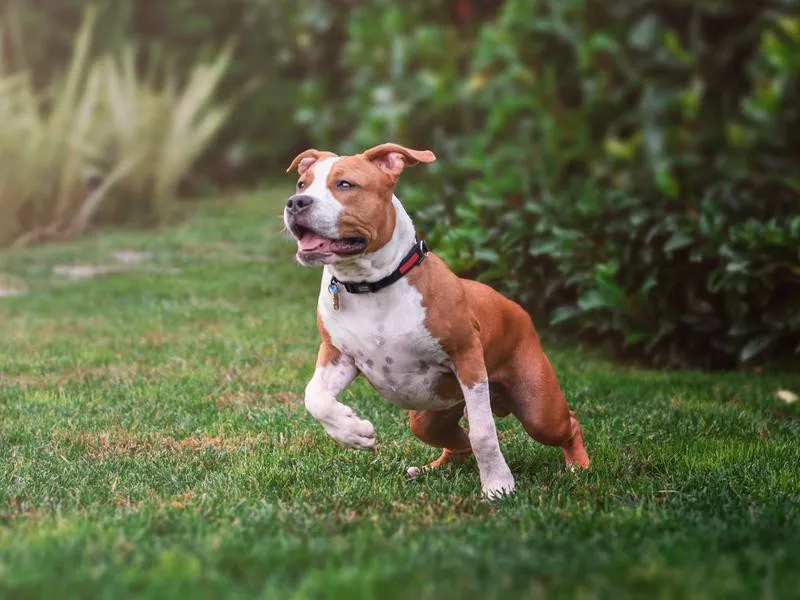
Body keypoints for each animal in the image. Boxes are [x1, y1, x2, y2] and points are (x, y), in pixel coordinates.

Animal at [284, 143, 592, 500]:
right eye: (301, 184)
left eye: (345, 184)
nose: (296, 203)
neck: (372, 284)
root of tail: (516, 307)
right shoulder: (338, 355)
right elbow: (315, 397)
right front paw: (354, 432)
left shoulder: (467, 358)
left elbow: (484, 432)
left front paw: (498, 485)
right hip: (429, 417)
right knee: (458, 440)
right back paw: (431, 468)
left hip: (538, 409)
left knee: (565, 422)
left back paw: (579, 466)